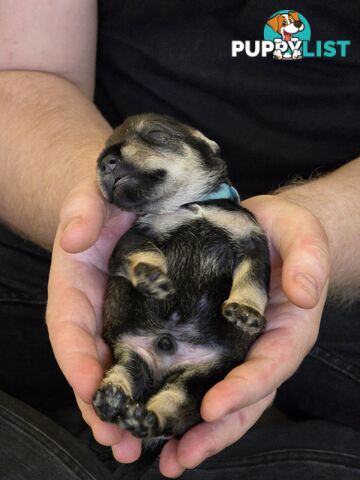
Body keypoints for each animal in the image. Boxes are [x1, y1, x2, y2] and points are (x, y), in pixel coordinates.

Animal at [93, 113, 270, 446]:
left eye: (155, 134)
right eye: (104, 148)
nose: (105, 161)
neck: (188, 205)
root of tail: (166, 357)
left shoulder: (251, 241)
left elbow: (252, 282)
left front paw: (245, 311)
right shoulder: (134, 236)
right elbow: (143, 251)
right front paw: (151, 276)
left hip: (199, 378)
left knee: (174, 406)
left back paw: (145, 419)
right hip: (131, 354)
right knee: (125, 373)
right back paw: (112, 397)